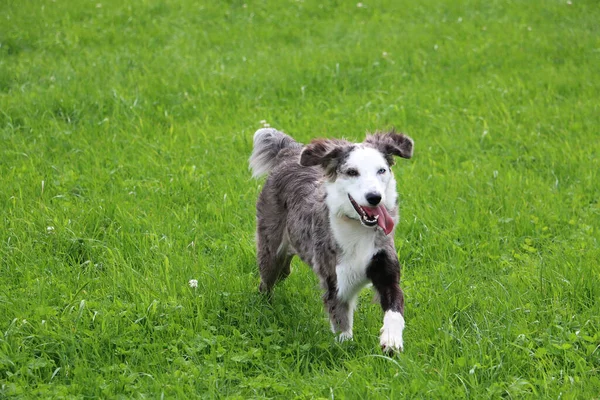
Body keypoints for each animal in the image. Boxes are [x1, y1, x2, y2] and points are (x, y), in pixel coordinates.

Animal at [248, 127, 412, 350]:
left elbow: (395, 306)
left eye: (381, 170)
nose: (374, 197)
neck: (357, 228)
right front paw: (346, 347)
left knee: (285, 270)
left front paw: (391, 340)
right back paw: (265, 307)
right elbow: (341, 321)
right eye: (352, 172)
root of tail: (289, 153)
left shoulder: (384, 264)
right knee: (266, 282)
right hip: (270, 248)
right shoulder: (335, 280)